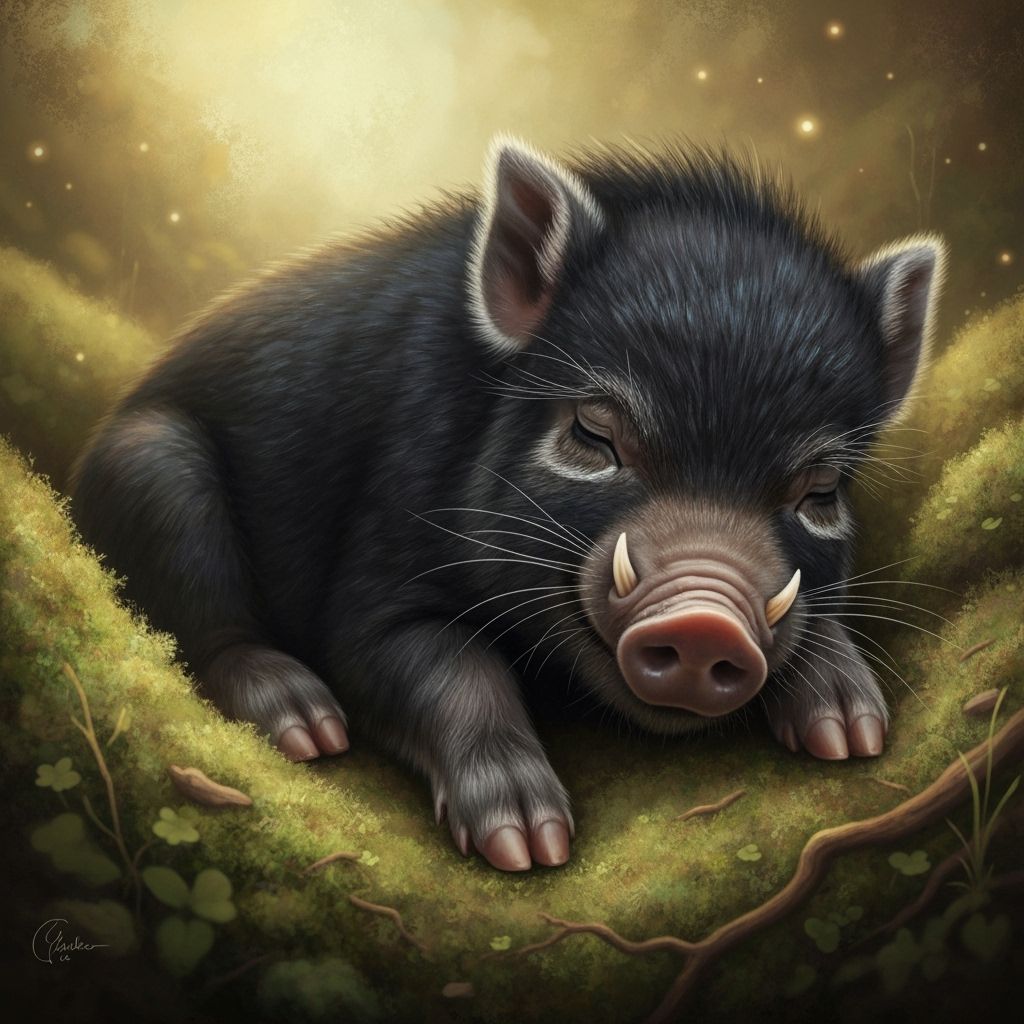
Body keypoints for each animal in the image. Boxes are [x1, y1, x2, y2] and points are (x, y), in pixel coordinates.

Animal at [70, 135, 947, 872]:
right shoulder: (376, 569)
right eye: (593, 431)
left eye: (820, 490)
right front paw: (531, 849)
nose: (708, 621)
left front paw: (854, 734)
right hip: (152, 473)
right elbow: (448, 662)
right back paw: (308, 728)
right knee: (206, 628)